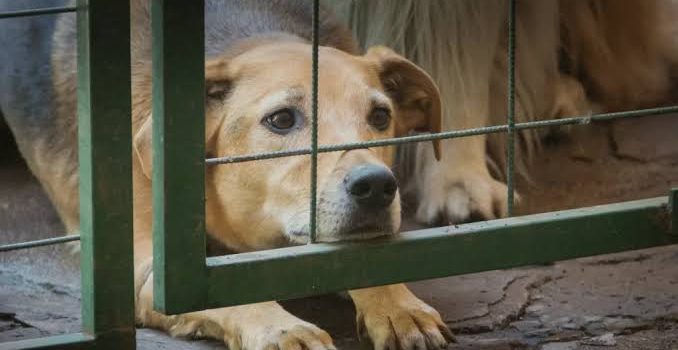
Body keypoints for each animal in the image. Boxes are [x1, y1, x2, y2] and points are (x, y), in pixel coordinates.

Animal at [2, 0, 456, 350]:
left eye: (380, 116)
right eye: (281, 119)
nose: (376, 185)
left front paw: (399, 305)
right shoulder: (147, 263)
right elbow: (217, 292)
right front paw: (280, 327)